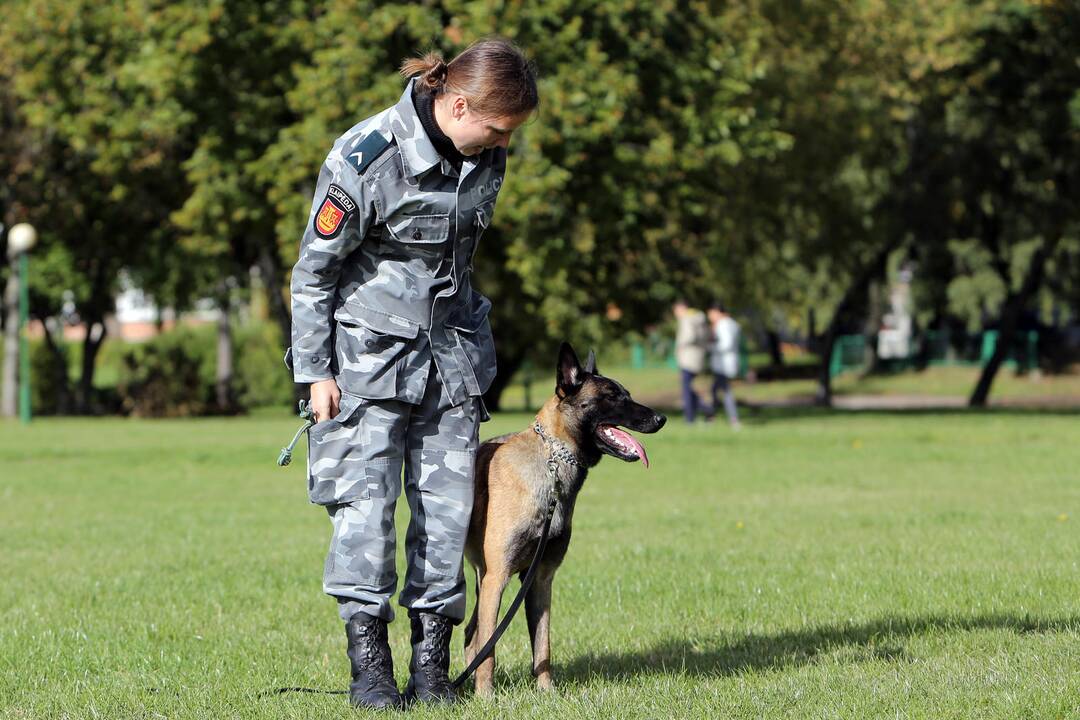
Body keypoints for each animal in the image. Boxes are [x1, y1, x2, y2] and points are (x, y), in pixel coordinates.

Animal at [464, 345, 665, 695]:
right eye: (612, 396)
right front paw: (486, 697)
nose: (661, 419)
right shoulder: (497, 577)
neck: (552, 466)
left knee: (468, 634)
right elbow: (489, 649)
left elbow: (542, 645)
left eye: (627, 393)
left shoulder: (541, 579)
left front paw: (547, 693)